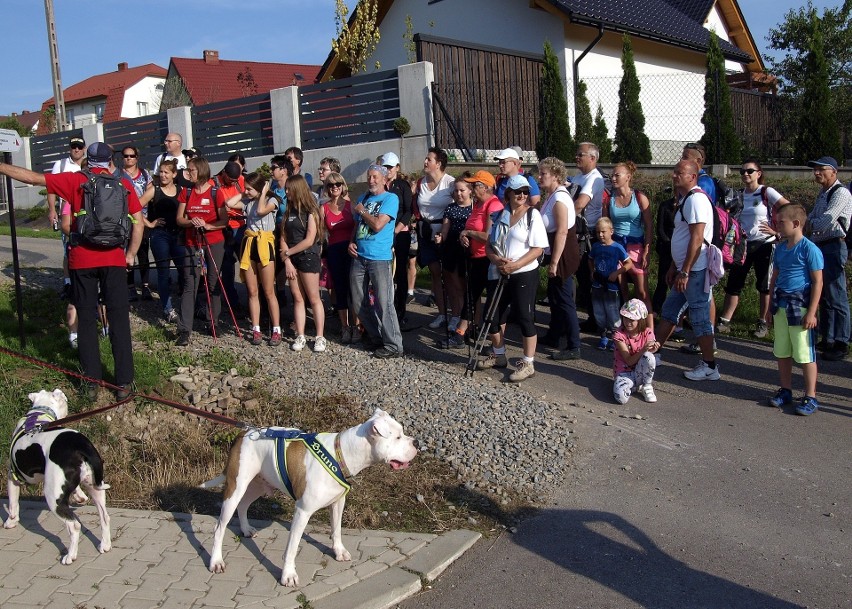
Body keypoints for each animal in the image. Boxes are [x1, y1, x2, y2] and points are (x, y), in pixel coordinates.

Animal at [5, 388, 111, 564]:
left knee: (74, 526)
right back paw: (105, 545)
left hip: (53, 497)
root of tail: (79, 445)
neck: (39, 415)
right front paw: (79, 497)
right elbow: (78, 491)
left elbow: (13, 503)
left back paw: (70, 555)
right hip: (95, 487)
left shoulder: (13, 476)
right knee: (104, 517)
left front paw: (10, 521)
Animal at [207, 408, 420, 584]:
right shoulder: (303, 511)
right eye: (398, 437)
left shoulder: (338, 503)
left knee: (243, 505)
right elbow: (292, 547)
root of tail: (245, 432)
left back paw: (245, 529)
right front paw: (288, 575)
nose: (416, 442)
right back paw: (216, 561)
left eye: (402, 433)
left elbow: (336, 529)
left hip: (258, 484)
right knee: (219, 527)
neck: (340, 454)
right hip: (236, 487)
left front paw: (339, 551)